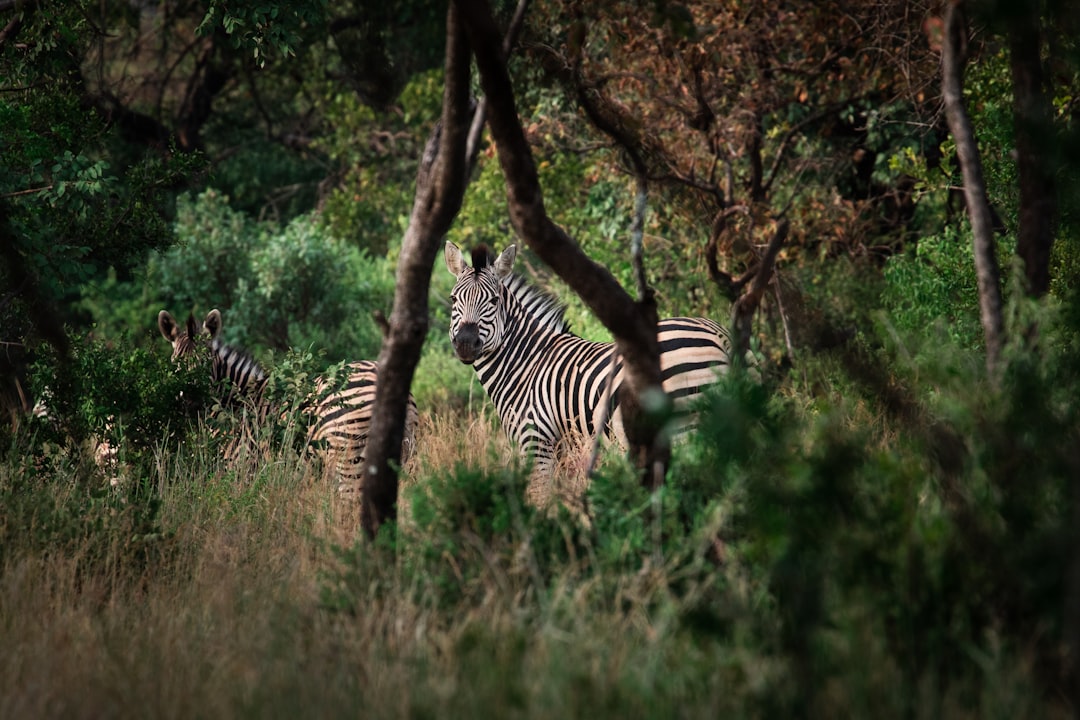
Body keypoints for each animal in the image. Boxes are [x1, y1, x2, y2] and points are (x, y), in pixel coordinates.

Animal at [157, 310, 419, 496]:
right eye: (175, 364)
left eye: (205, 364)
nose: (189, 404)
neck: (237, 404)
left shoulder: (241, 468)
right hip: (406, 455)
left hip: (347, 457)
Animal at [442, 241, 738, 507]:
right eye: (454, 299)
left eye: (493, 301)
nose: (466, 343)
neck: (526, 363)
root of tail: (719, 334)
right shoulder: (563, 450)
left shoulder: (536, 443)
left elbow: (539, 500)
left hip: (683, 426)